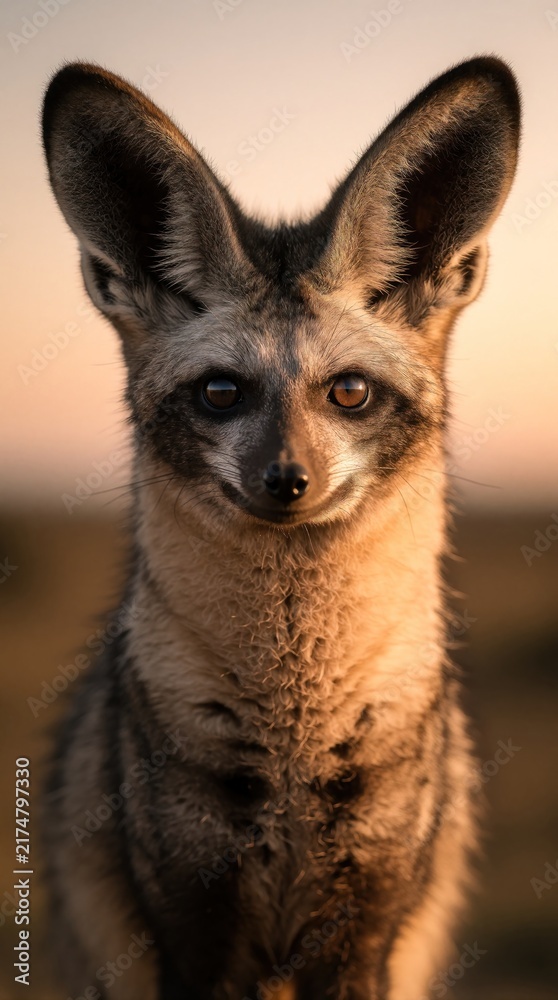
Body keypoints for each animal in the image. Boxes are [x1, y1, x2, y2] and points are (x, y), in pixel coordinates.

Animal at [41, 57, 520, 1000]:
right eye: (222, 392)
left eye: (350, 392)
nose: (287, 482)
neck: (294, 738)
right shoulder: (198, 921)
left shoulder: (364, 924)